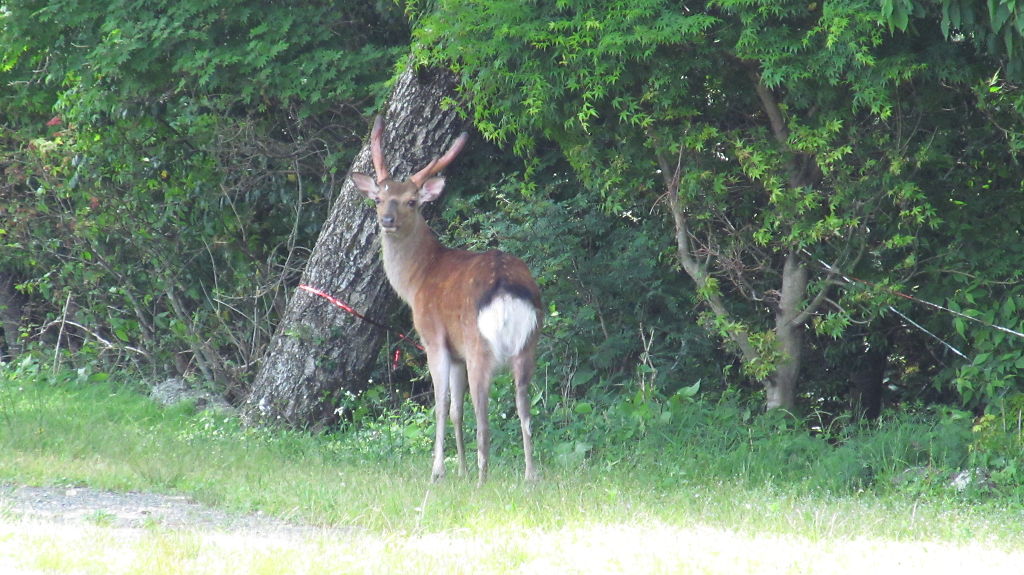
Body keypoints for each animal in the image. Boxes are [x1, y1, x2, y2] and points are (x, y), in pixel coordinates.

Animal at [350, 116, 541, 485]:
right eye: (378, 198)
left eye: (412, 201)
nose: (387, 220)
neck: (418, 280)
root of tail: (506, 289)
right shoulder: (457, 355)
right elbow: (455, 410)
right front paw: (460, 470)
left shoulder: (434, 338)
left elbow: (440, 406)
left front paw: (438, 470)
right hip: (529, 346)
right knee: (525, 412)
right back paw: (529, 477)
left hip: (480, 345)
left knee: (485, 418)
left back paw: (483, 481)